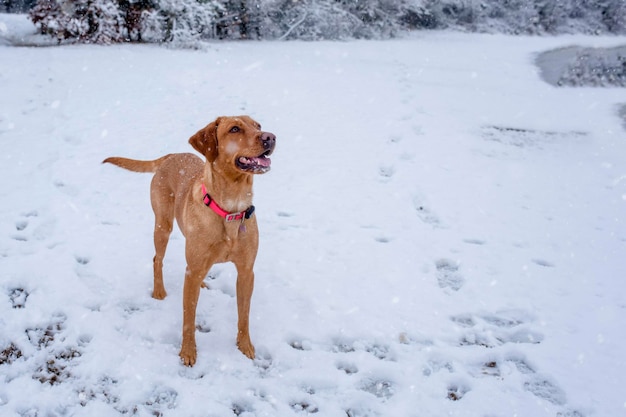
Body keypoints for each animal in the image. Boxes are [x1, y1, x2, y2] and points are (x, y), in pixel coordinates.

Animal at [103, 115, 276, 366]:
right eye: (235, 129)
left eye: (258, 126)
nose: (270, 137)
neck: (230, 209)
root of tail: (171, 156)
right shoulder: (192, 273)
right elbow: (188, 318)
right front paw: (188, 352)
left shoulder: (246, 272)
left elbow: (244, 314)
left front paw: (245, 346)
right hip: (162, 226)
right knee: (157, 259)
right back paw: (159, 291)